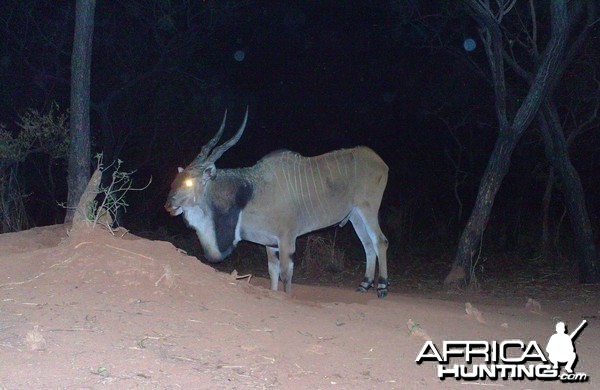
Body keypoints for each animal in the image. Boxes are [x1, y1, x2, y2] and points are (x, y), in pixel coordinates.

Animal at [165, 108, 390, 298]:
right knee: (368, 244)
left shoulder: (286, 239)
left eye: (188, 182)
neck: (252, 191)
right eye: (176, 179)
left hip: (368, 209)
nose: (168, 205)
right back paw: (364, 284)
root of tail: (381, 162)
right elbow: (272, 272)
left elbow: (285, 274)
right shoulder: (270, 243)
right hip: (355, 216)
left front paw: (287, 298)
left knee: (380, 241)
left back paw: (382, 287)